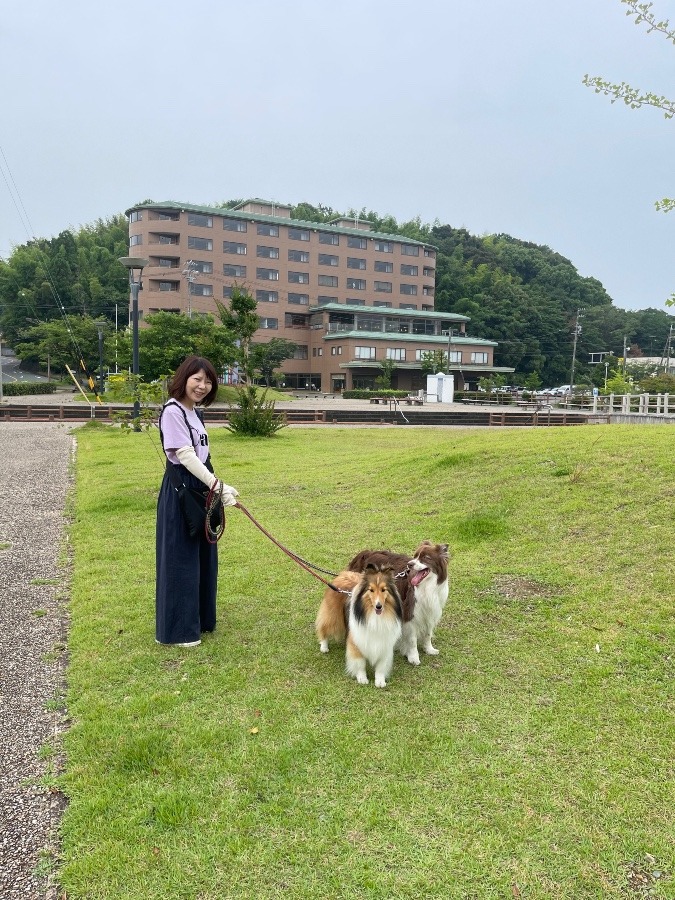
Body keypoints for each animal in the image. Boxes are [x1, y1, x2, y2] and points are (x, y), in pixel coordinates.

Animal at [346, 536, 452, 664]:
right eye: (415, 556)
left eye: (426, 558)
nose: (410, 564)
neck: (427, 586)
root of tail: (365, 553)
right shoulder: (410, 613)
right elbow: (412, 639)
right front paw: (413, 657)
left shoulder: (431, 611)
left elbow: (428, 633)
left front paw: (429, 649)